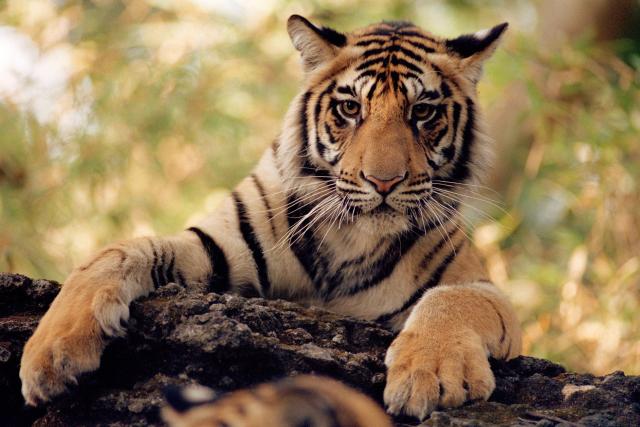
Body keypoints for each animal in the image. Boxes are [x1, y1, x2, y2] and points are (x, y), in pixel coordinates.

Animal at [20, 15, 522, 420]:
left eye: (423, 112)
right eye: (350, 108)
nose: (383, 182)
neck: (352, 236)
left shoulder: (484, 290)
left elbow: (451, 299)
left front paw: (430, 375)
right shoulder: (219, 247)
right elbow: (117, 251)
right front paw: (51, 354)